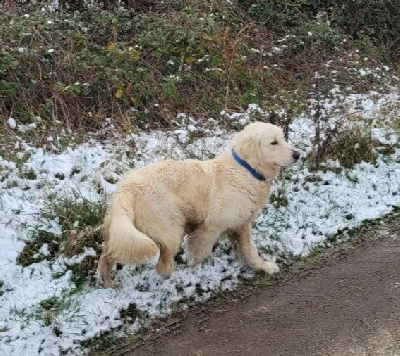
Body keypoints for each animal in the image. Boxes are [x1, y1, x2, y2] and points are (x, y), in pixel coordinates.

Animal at [99, 121, 300, 288]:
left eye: (283, 139)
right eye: (273, 143)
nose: (297, 154)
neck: (245, 170)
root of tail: (125, 189)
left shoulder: (241, 225)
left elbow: (250, 250)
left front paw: (264, 266)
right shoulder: (210, 227)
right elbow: (201, 252)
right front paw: (195, 269)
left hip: (126, 234)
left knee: (106, 257)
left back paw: (109, 284)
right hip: (171, 231)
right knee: (163, 268)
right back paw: (178, 280)